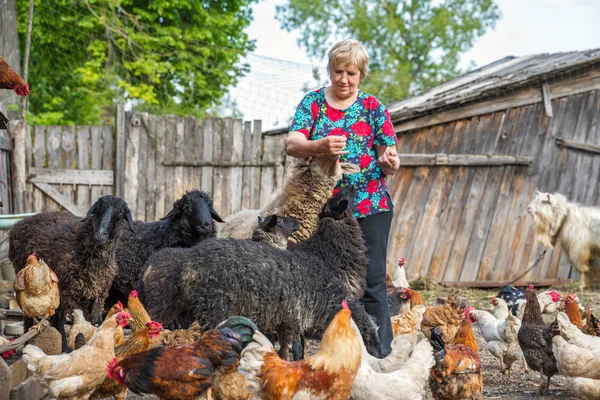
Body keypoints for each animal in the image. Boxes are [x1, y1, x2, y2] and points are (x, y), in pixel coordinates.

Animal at [9, 197, 134, 350]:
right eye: (98, 208)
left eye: (120, 213)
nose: (100, 235)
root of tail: (19, 224)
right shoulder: (69, 293)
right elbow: (82, 320)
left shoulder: (98, 293)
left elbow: (95, 321)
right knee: (34, 316)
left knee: (56, 318)